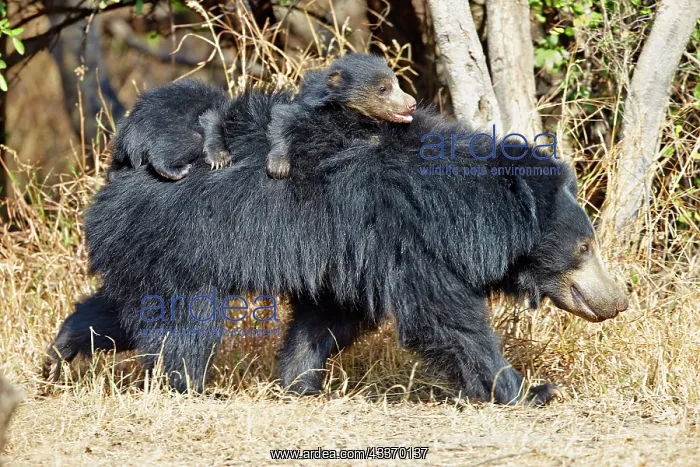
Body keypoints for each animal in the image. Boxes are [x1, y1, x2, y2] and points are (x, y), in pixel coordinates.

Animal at [43, 88, 629, 405]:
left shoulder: (354, 249)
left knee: (120, 309)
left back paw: (58, 356)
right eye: (585, 248)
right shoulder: (402, 234)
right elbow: (443, 316)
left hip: (148, 251)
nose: (618, 301)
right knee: (181, 323)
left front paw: (299, 381)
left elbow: (331, 315)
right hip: (185, 248)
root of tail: (123, 163)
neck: (457, 205)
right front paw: (524, 390)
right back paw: (188, 386)